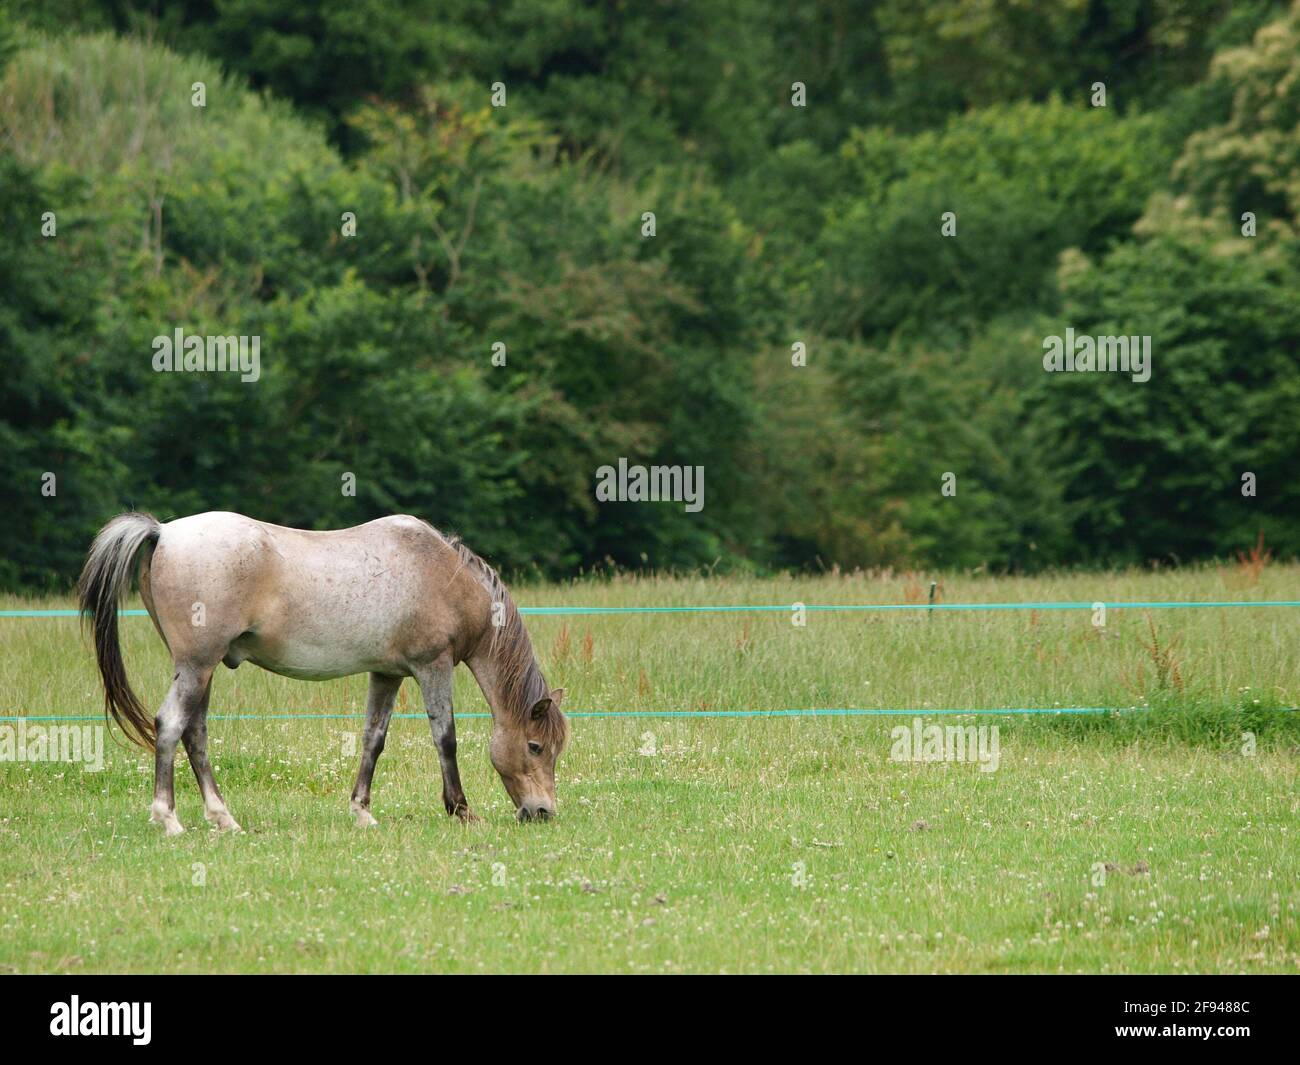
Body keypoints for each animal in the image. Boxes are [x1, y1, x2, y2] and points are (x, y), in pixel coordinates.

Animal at [78, 512, 566, 837]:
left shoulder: (386, 674)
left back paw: (223, 817)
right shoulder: (434, 666)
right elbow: (445, 739)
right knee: (170, 726)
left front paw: (362, 811)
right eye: (535, 746)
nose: (542, 812)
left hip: (201, 670)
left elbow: (374, 739)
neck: (443, 574)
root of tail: (165, 531)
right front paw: (461, 810)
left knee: (194, 734)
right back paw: (169, 818)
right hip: (196, 666)